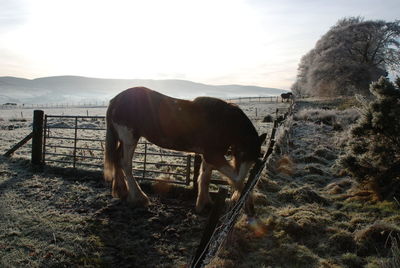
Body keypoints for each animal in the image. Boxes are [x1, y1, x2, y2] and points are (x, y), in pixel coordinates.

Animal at [104, 87, 266, 213]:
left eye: (254, 159)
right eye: (241, 153)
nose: (251, 210)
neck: (223, 122)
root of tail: (115, 100)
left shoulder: (208, 156)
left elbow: (205, 178)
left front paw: (203, 204)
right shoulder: (213, 156)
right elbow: (238, 179)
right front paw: (245, 203)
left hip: (124, 140)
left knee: (117, 159)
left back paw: (122, 192)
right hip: (129, 139)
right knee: (125, 164)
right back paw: (139, 198)